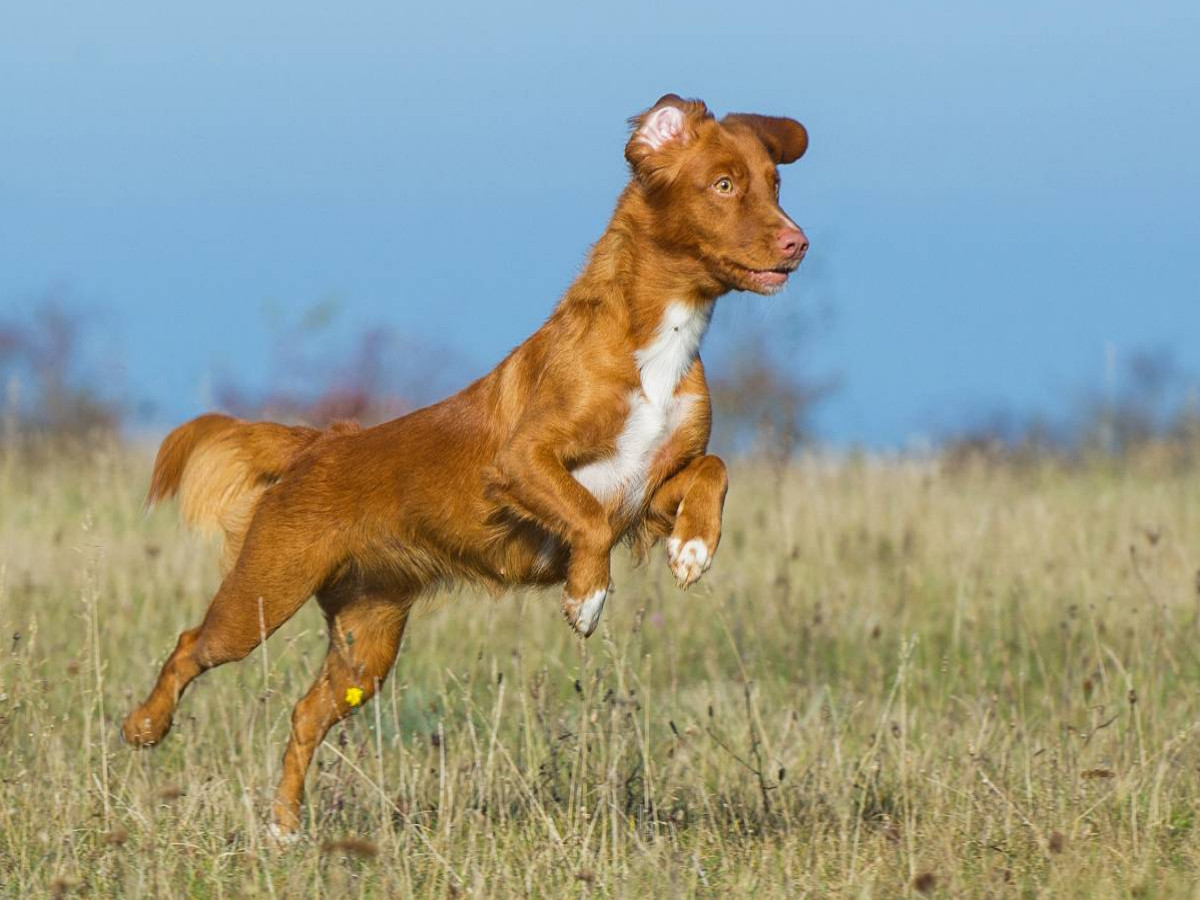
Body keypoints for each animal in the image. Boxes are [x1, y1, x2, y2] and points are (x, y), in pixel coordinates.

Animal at [124, 91, 806, 840]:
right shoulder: (522, 463)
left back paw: (282, 829)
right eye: (723, 185)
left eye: (775, 184)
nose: (798, 242)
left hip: (367, 641)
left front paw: (693, 547)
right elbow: (587, 519)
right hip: (262, 595)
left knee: (305, 713)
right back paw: (145, 727)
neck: (656, 340)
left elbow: (713, 468)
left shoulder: (647, 487)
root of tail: (318, 443)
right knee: (191, 644)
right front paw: (586, 598)